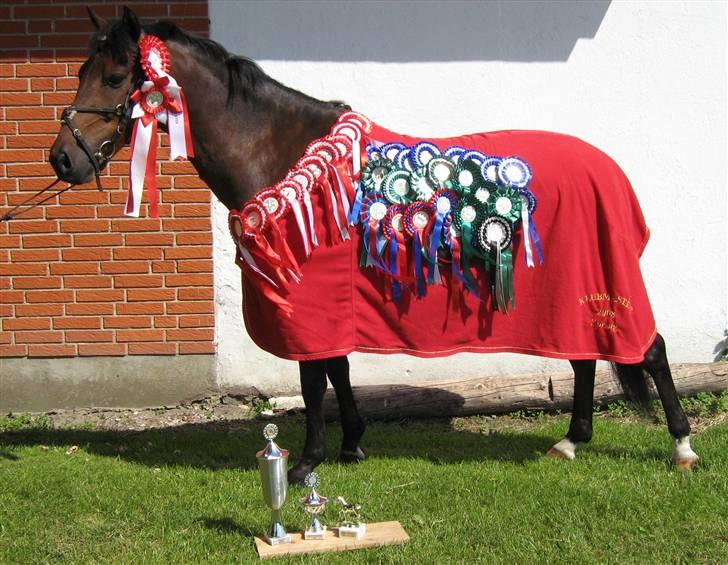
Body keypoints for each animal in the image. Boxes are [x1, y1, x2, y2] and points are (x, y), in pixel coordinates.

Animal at [45, 7, 699, 484]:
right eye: (77, 72)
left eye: (113, 78)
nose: (62, 159)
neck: (285, 157)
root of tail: (608, 169)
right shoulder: (329, 306)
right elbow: (337, 372)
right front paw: (353, 443)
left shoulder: (306, 303)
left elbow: (314, 382)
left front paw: (307, 462)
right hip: (569, 289)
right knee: (584, 356)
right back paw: (570, 441)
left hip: (604, 285)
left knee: (650, 350)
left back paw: (683, 447)